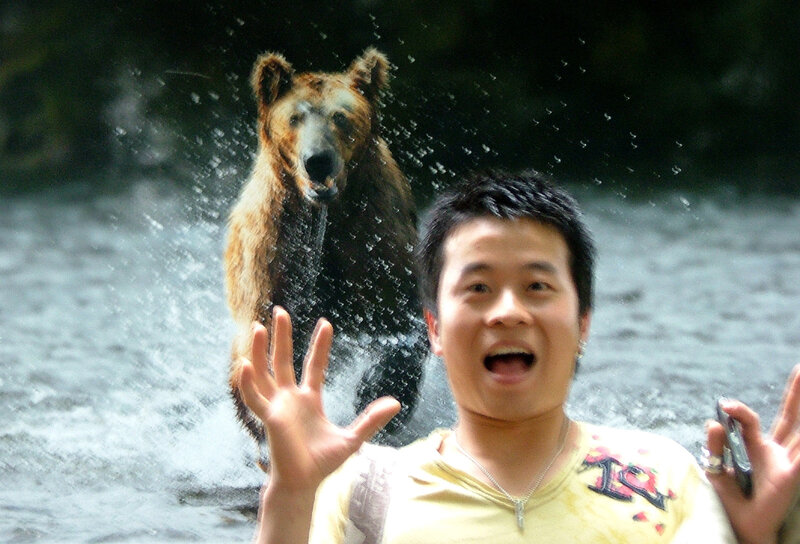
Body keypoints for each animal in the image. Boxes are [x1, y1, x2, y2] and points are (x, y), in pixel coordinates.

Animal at [224, 48, 426, 469]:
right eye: (295, 117)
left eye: (341, 116)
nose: (318, 160)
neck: (325, 215)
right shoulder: (277, 251)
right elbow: (268, 333)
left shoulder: (374, 238)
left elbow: (400, 323)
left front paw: (373, 396)